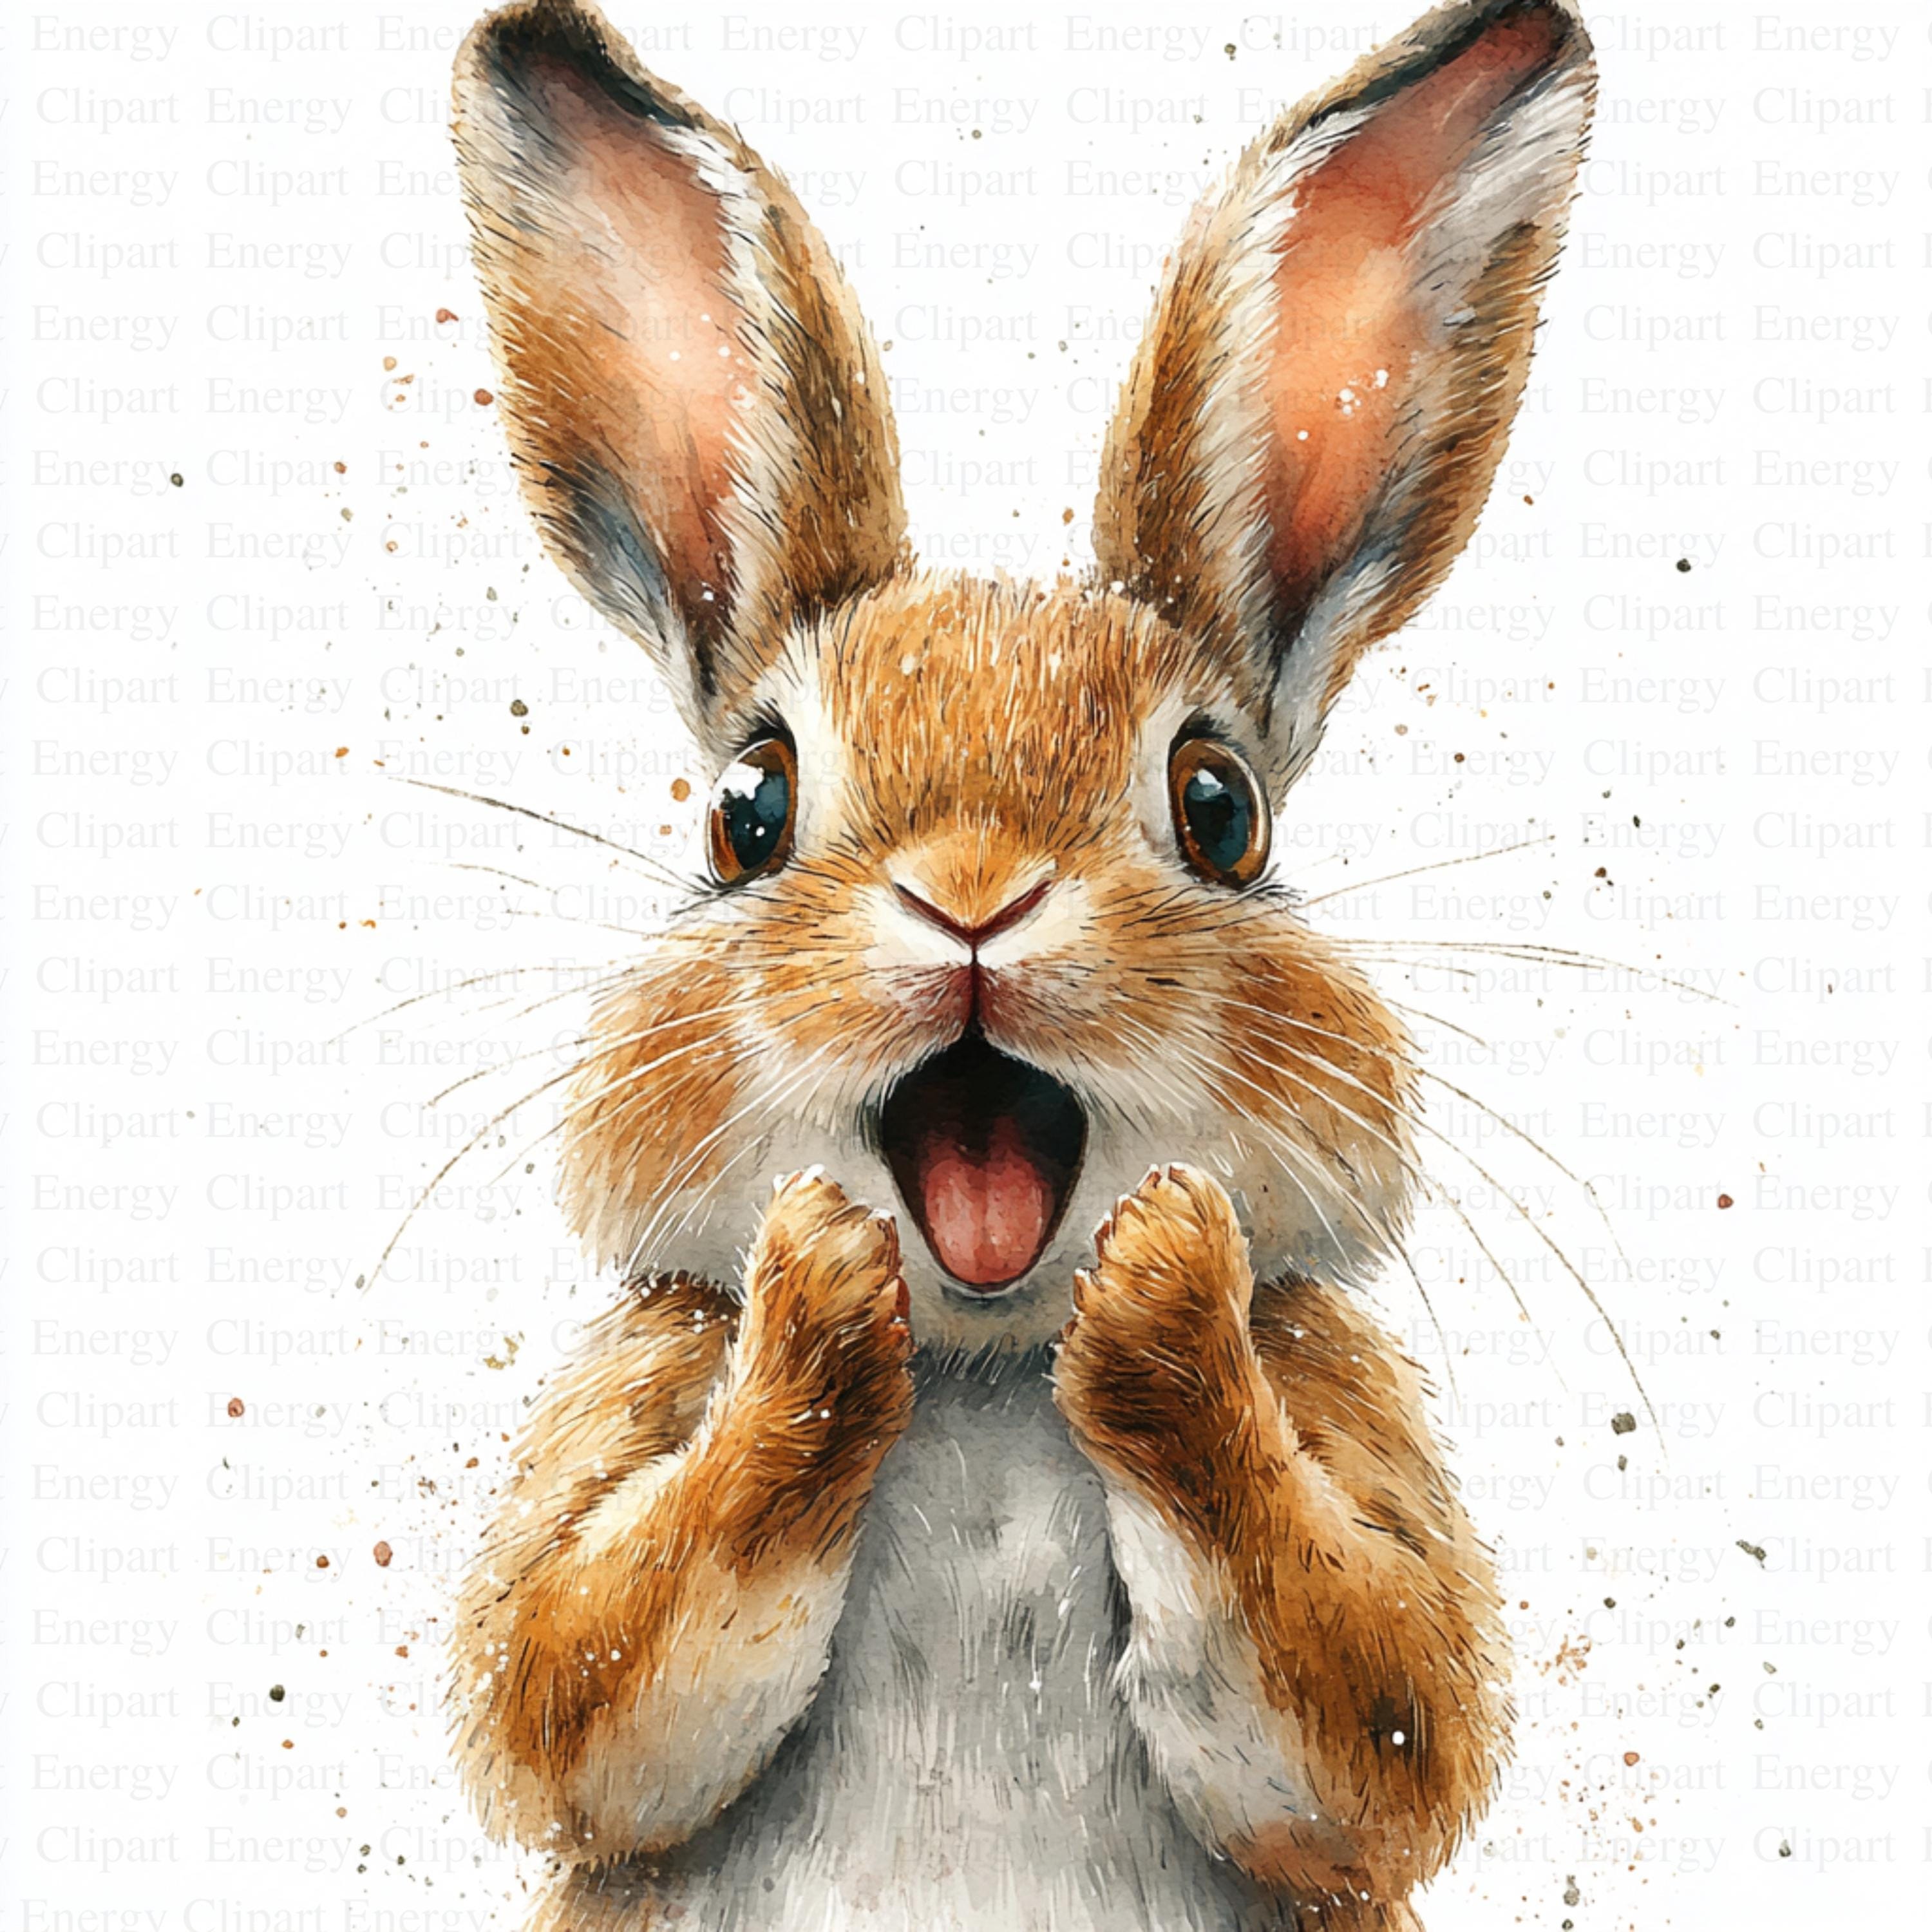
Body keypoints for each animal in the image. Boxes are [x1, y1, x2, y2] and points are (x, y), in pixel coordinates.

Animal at [444, 1, 1595, 1927]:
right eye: (749, 806)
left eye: (1218, 808)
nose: (974, 901)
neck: (984, 1373)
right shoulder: (626, 1430)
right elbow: (568, 1676)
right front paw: (820, 1287)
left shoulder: (1350, 1476)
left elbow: (1378, 1704)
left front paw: (1166, 1286)